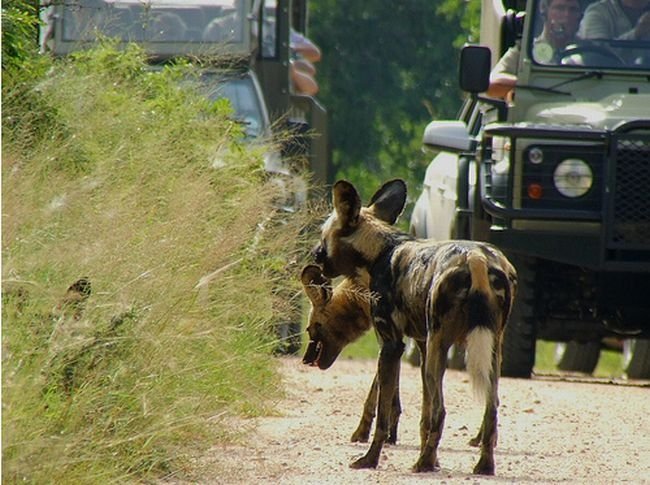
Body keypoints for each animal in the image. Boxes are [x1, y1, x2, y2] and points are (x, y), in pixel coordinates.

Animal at [298, 266, 400, 444]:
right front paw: (390, 435)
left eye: (310, 329)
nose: (305, 360)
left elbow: (375, 393)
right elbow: (393, 394)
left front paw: (362, 432)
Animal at [314, 180, 516, 474]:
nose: (314, 255)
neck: (381, 252)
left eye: (323, 237)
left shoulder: (391, 346)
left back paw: (423, 463)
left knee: (441, 411)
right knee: (491, 408)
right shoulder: (420, 345)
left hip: (438, 351)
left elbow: (384, 414)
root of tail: (476, 258)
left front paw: (370, 459)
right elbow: (423, 414)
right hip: (486, 351)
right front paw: (433, 458)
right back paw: (482, 465)